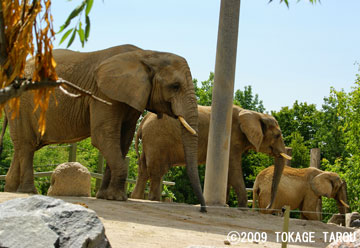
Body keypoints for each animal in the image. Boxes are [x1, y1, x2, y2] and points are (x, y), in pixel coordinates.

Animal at [2, 44, 207, 211]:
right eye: (175, 86)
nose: (203, 209)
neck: (148, 54)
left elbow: (122, 141)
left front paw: (106, 197)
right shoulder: (103, 94)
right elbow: (104, 137)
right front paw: (118, 198)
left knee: (23, 145)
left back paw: (12, 190)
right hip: (21, 102)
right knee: (27, 145)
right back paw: (29, 191)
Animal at [131, 104, 292, 207]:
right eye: (277, 135)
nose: (268, 207)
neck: (255, 114)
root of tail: (143, 121)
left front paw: (225, 204)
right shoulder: (232, 139)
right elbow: (233, 170)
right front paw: (242, 207)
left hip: (150, 142)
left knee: (143, 171)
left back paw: (136, 198)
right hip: (157, 141)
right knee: (157, 172)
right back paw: (153, 200)